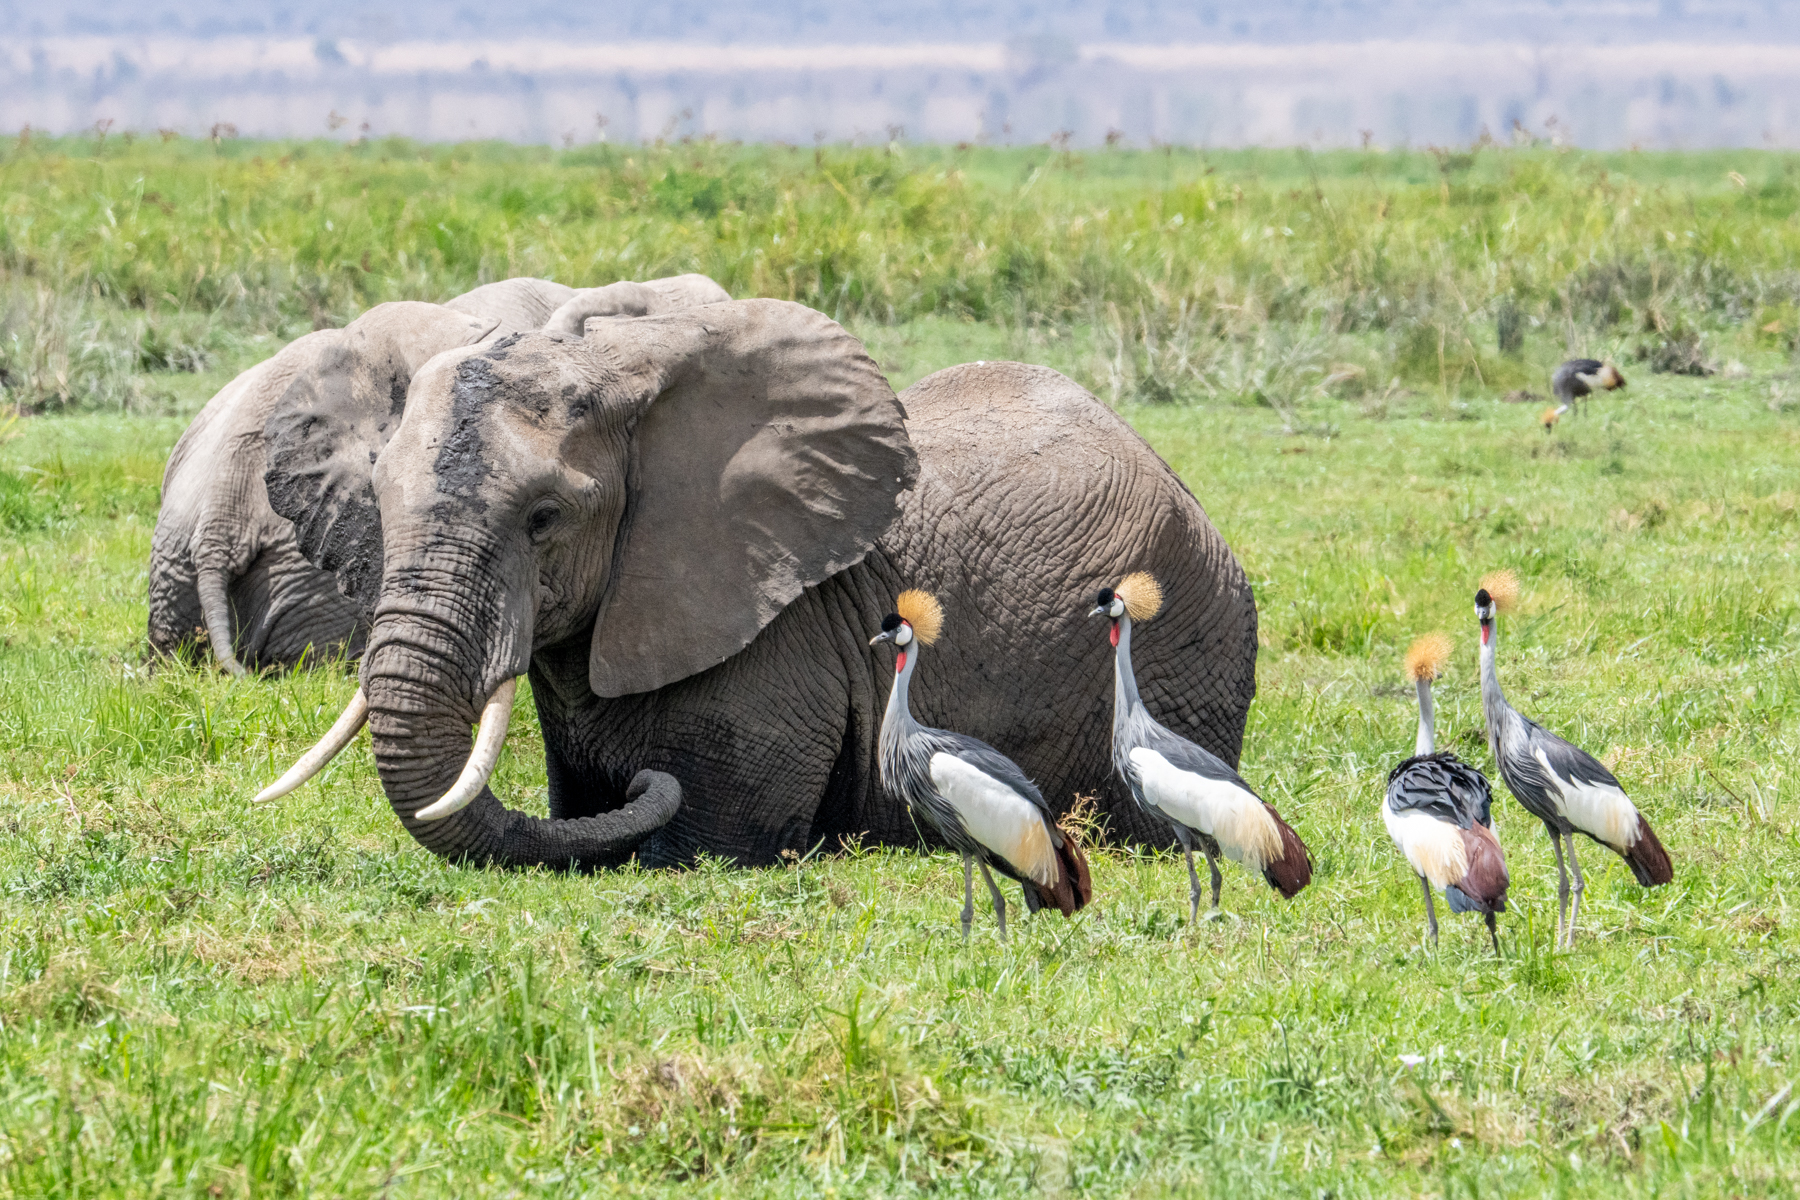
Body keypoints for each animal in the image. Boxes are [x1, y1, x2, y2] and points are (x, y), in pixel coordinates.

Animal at [256, 300, 1259, 867]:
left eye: (544, 518)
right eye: (378, 499)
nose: (643, 782)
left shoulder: (775, 633)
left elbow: (706, 841)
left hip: (1188, 632)